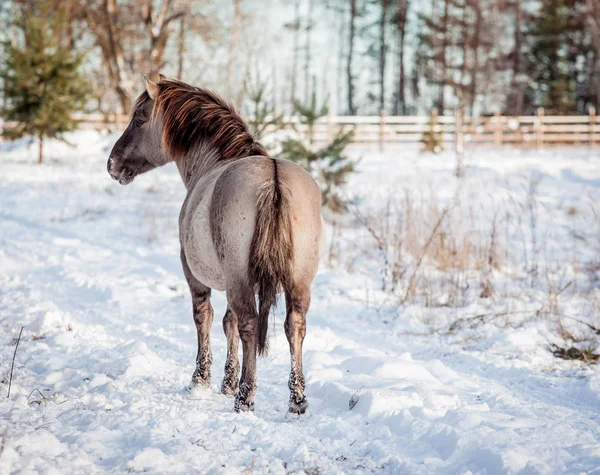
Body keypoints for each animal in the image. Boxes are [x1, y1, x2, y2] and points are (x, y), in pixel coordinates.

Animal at [108, 76, 324, 414]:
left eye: (140, 119)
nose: (112, 163)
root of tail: (273, 179)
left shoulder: (195, 273)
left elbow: (205, 317)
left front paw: (202, 380)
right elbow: (228, 322)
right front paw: (227, 381)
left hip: (240, 279)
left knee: (250, 324)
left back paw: (246, 396)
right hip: (298, 280)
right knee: (294, 326)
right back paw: (297, 399)